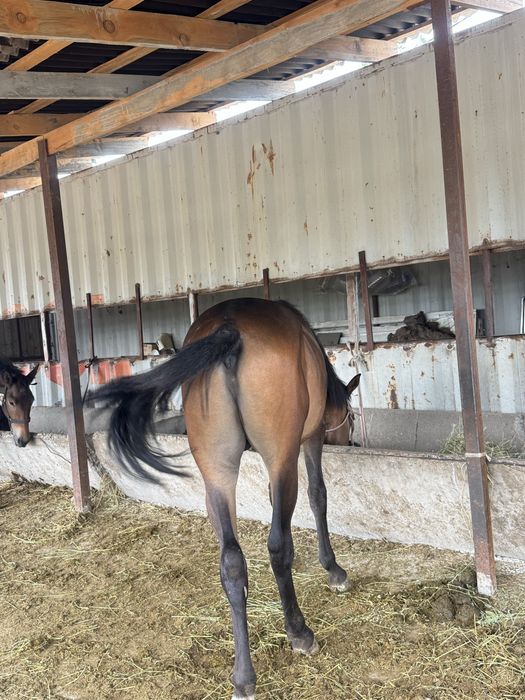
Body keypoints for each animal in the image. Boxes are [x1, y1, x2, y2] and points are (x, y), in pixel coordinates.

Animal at [90, 298, 361, 700]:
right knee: (277, 547)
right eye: (351, 418)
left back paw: (243, 677)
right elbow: (318, 496)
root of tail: (230, 328)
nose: (351, 440)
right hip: (280, 455)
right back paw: (299, 631)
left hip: (216, 473)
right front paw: (333, 569)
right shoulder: (309, 440)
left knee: (231, 563)